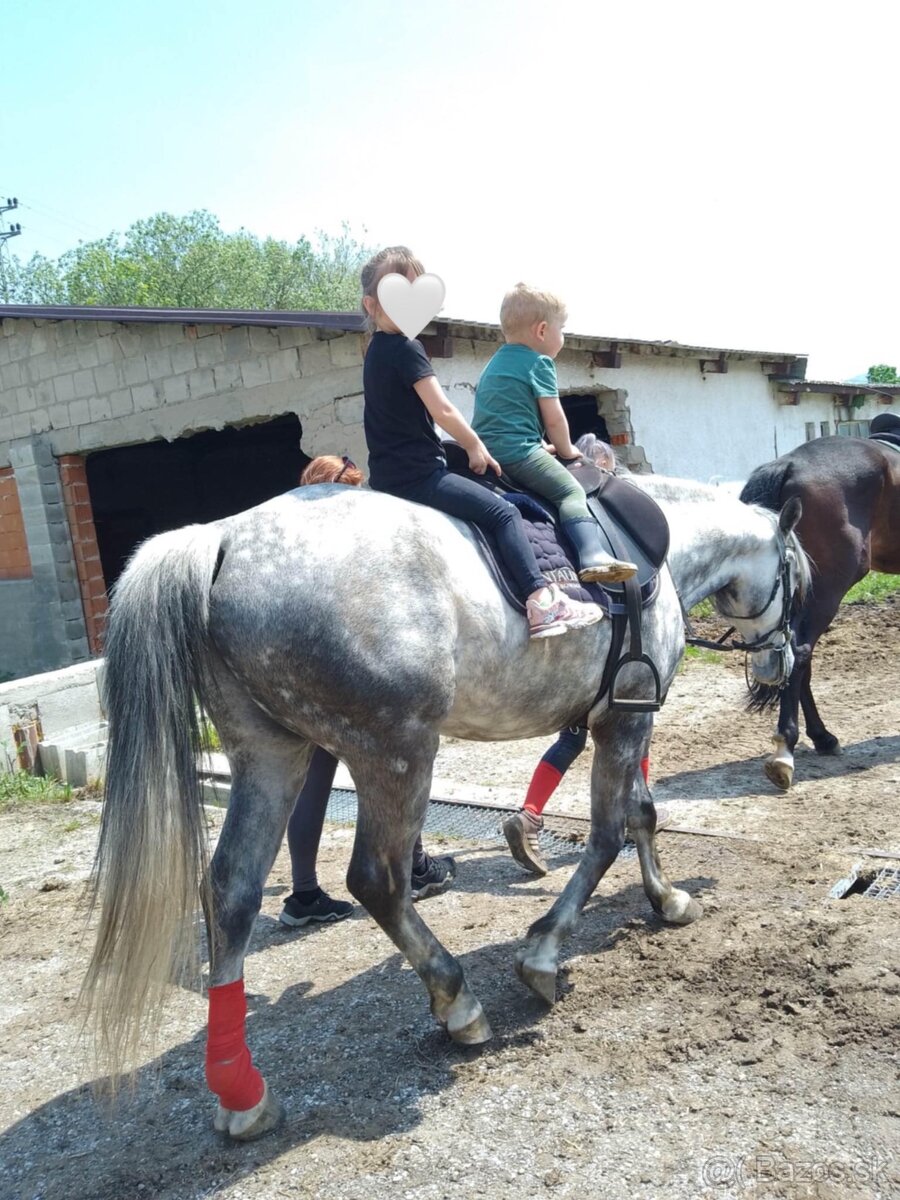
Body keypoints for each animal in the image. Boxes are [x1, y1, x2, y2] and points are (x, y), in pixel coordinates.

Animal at [81, 472, 806, 1137]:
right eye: (796, 573)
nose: (785, 662)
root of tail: (222, 539)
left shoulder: (626, 715)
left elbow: (641, 815)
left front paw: (667, 899)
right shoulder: (624, 719)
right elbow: (607, 834)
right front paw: (543, 954)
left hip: (269, 753)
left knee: (231, 892)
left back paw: (242, 1092)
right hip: (395, 751)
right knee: (377, 880)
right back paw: (457, 1003)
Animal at [739, 427, 900, 792]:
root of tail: (789, 464)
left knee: (796, 656)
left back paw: (822, 737)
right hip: (828, 588)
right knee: (799, 652)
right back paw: (786, 748)